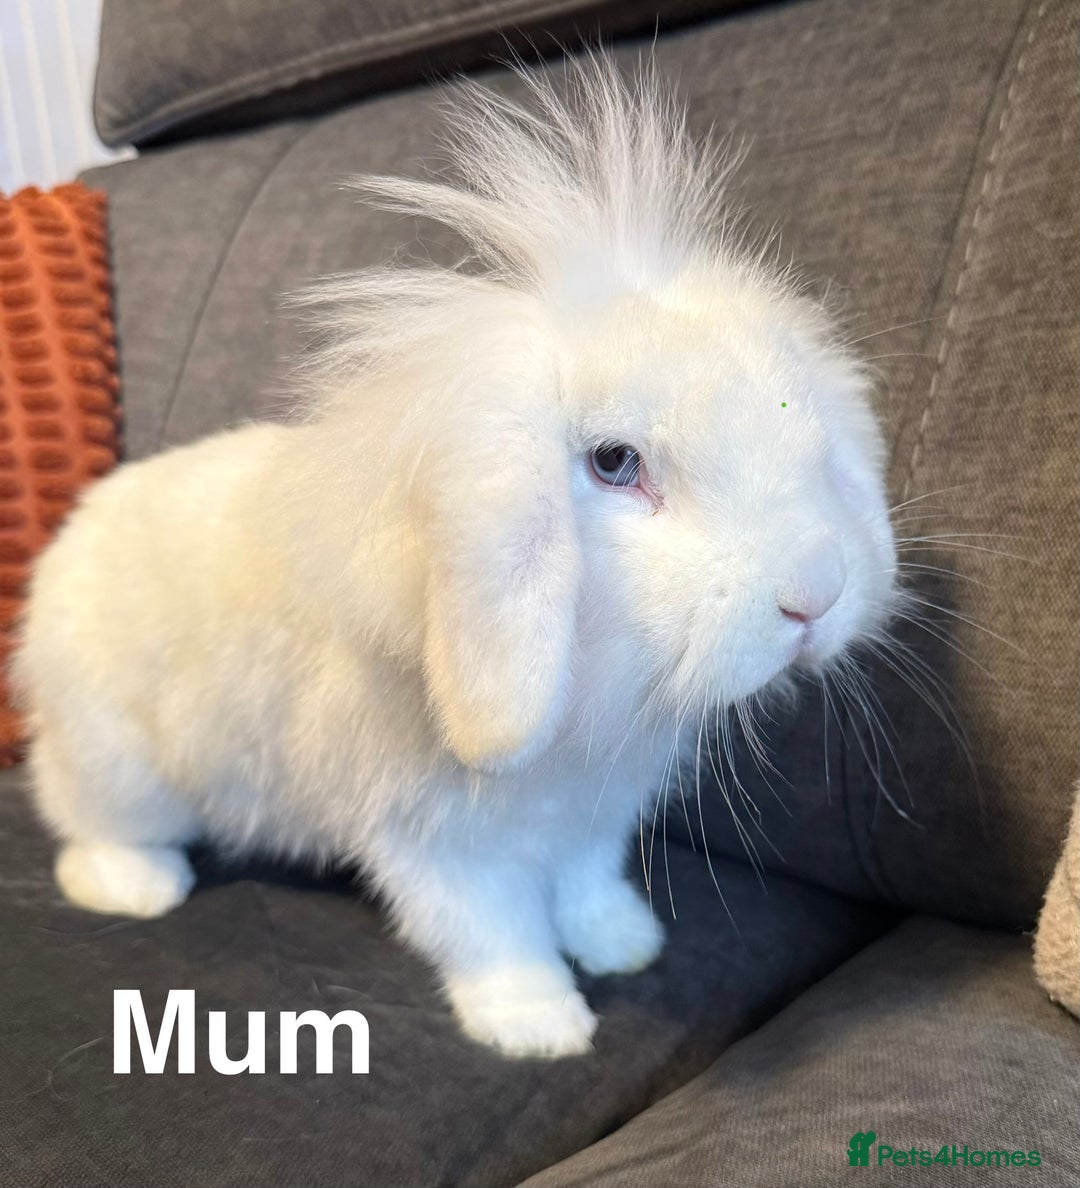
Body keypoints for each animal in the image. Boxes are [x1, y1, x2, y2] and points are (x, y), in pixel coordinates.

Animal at [13, 58, 898, 1059]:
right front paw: (539, 1027)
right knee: (86, 819)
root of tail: (70, 542)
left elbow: (586, 886)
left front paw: (622, 945)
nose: (813, 596)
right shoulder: (441, 846)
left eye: (803, 424)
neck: (586, 708)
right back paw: (137, 890)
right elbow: (493, 934)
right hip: (114, 758)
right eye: (615, 463)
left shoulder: (586, 822)